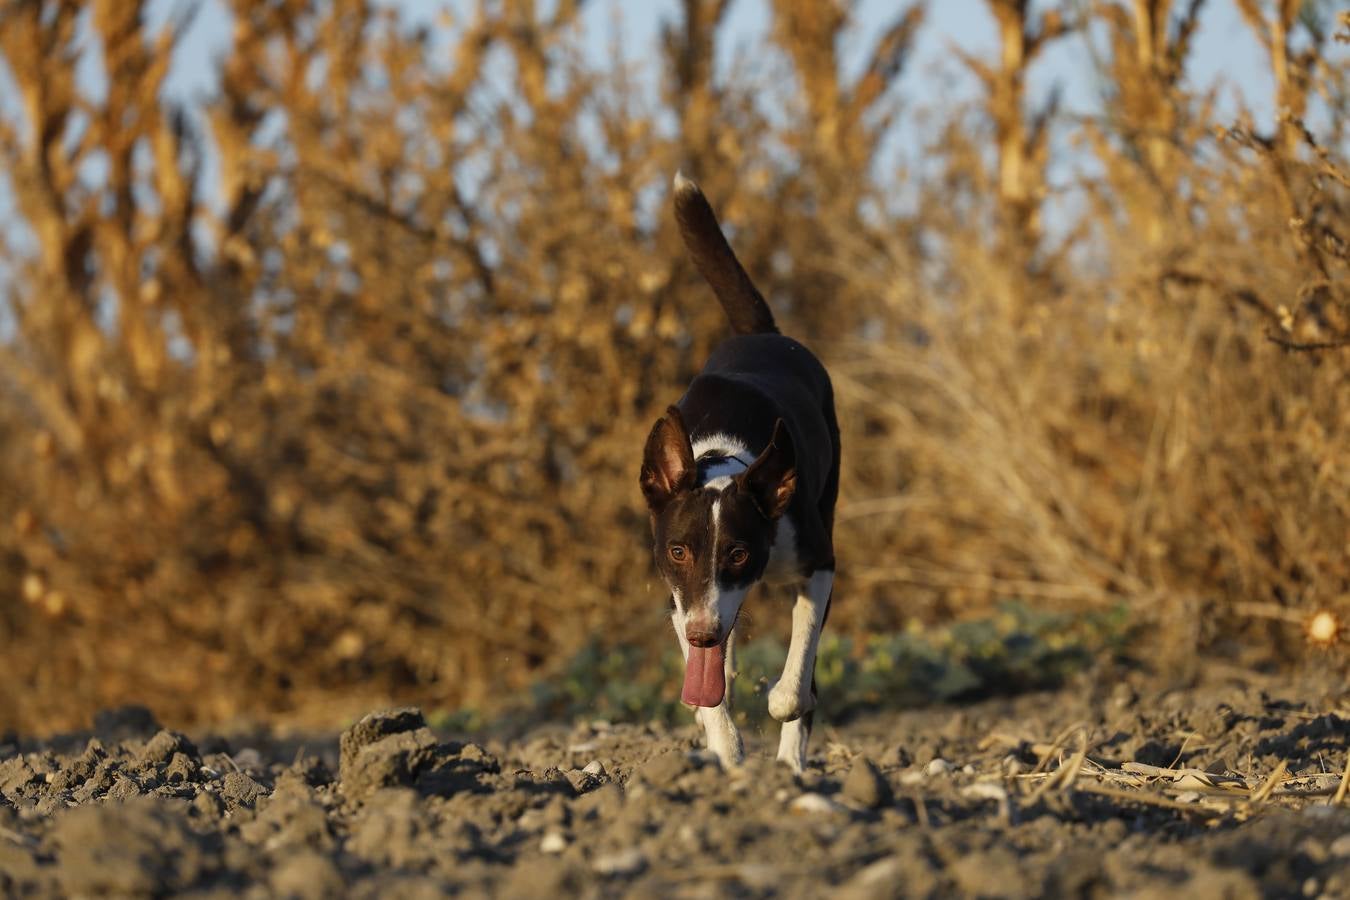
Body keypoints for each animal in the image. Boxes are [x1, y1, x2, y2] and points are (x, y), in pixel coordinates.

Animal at [637, 174, 837, 777]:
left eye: (740, 552)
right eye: (678, 551)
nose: (704, 632)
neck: (725, 458)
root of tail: (762, 333)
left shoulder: (817, 562)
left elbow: (796, 679)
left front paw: (780, 702)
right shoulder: (680, 599)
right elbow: (708, 687)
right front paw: (726, 749)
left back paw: (792, 762)